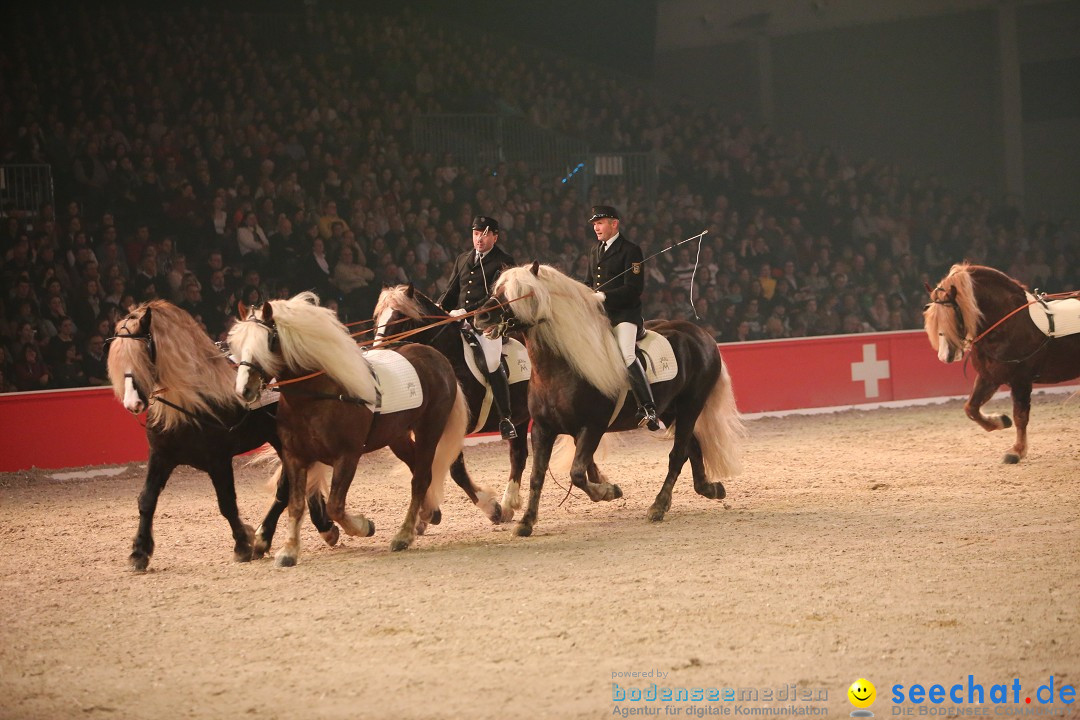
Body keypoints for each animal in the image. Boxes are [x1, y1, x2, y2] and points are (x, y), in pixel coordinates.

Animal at [108, 297, 336, 569]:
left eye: (143, 353)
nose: (132, 404)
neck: (192, 402)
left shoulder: (218, 460)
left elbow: (226, 503)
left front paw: (243, 544)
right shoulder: (161, 456)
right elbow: (146, 500)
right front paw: (139, 552)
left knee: (288, 485)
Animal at [232, 289, 468, 565]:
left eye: (269, 341)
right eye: (238, 344)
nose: (244, 390)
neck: (318, 396)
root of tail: (438, 359)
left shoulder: (347, 456)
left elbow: (335, 506)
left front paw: (365, 526)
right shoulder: (295, 456)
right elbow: (296, 503)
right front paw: (289, 550)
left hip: (429, 430)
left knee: (420, 478)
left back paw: (404, 535)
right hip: (397, 437)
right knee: (418, 469)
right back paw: (429, 512)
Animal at [473, 262, 743, 537]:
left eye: (521, 293)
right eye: (498, 289)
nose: (481, 317)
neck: (560, 368)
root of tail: (701, 334)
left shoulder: (592, 427)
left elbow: (577, 474)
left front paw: (608, 491)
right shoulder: (542, 429)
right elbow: (536, 476)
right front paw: (526, 521)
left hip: (691, 407)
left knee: (678, 454)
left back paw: (659, 506)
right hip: (670, 411)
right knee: (693, 447)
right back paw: (710, 489)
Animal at [920, 263, 1080, 462]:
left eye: (952, 315)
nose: (944, 356)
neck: (1009, 324)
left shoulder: (1021, 380)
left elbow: (1020, 416)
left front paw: (1017, 451)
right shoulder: (989, 377)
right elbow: (971, 408)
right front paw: (1000, 421)